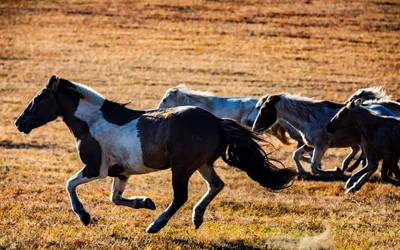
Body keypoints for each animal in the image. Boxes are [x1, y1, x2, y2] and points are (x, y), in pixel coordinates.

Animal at [14, 76, 296, 234]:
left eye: (37, 100)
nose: (19, 123)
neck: (92, 122)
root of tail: (216, 121)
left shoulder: (95, 169)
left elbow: (70, 184)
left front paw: (84, 216)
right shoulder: (121, 173)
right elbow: (115, 198)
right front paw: (145, 202)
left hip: (182, 168)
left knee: (181, 197)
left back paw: (156, 225)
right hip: (203, 164)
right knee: (216, 185)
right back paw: (197, 217)